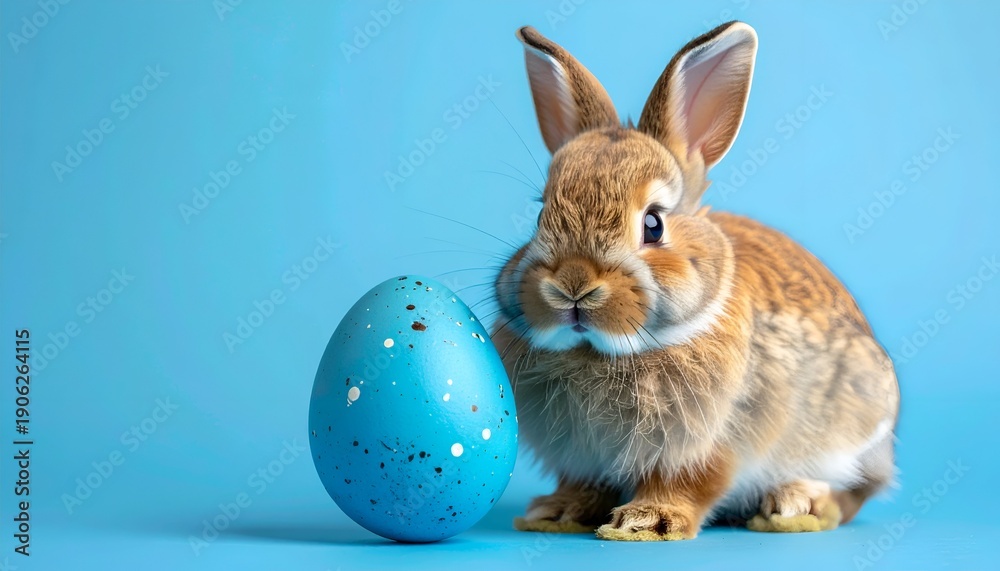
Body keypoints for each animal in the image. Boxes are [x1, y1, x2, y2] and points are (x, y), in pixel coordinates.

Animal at [490, 21, 900, 541]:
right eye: (541, 214)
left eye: (653, 224)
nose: (572, 284)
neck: (603, 352)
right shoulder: (582, 458)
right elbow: (582, 485)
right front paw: (557, 513)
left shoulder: (710, 442)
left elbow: (690, 483)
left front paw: (644, 521)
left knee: (854, 494)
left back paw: (794, 504)